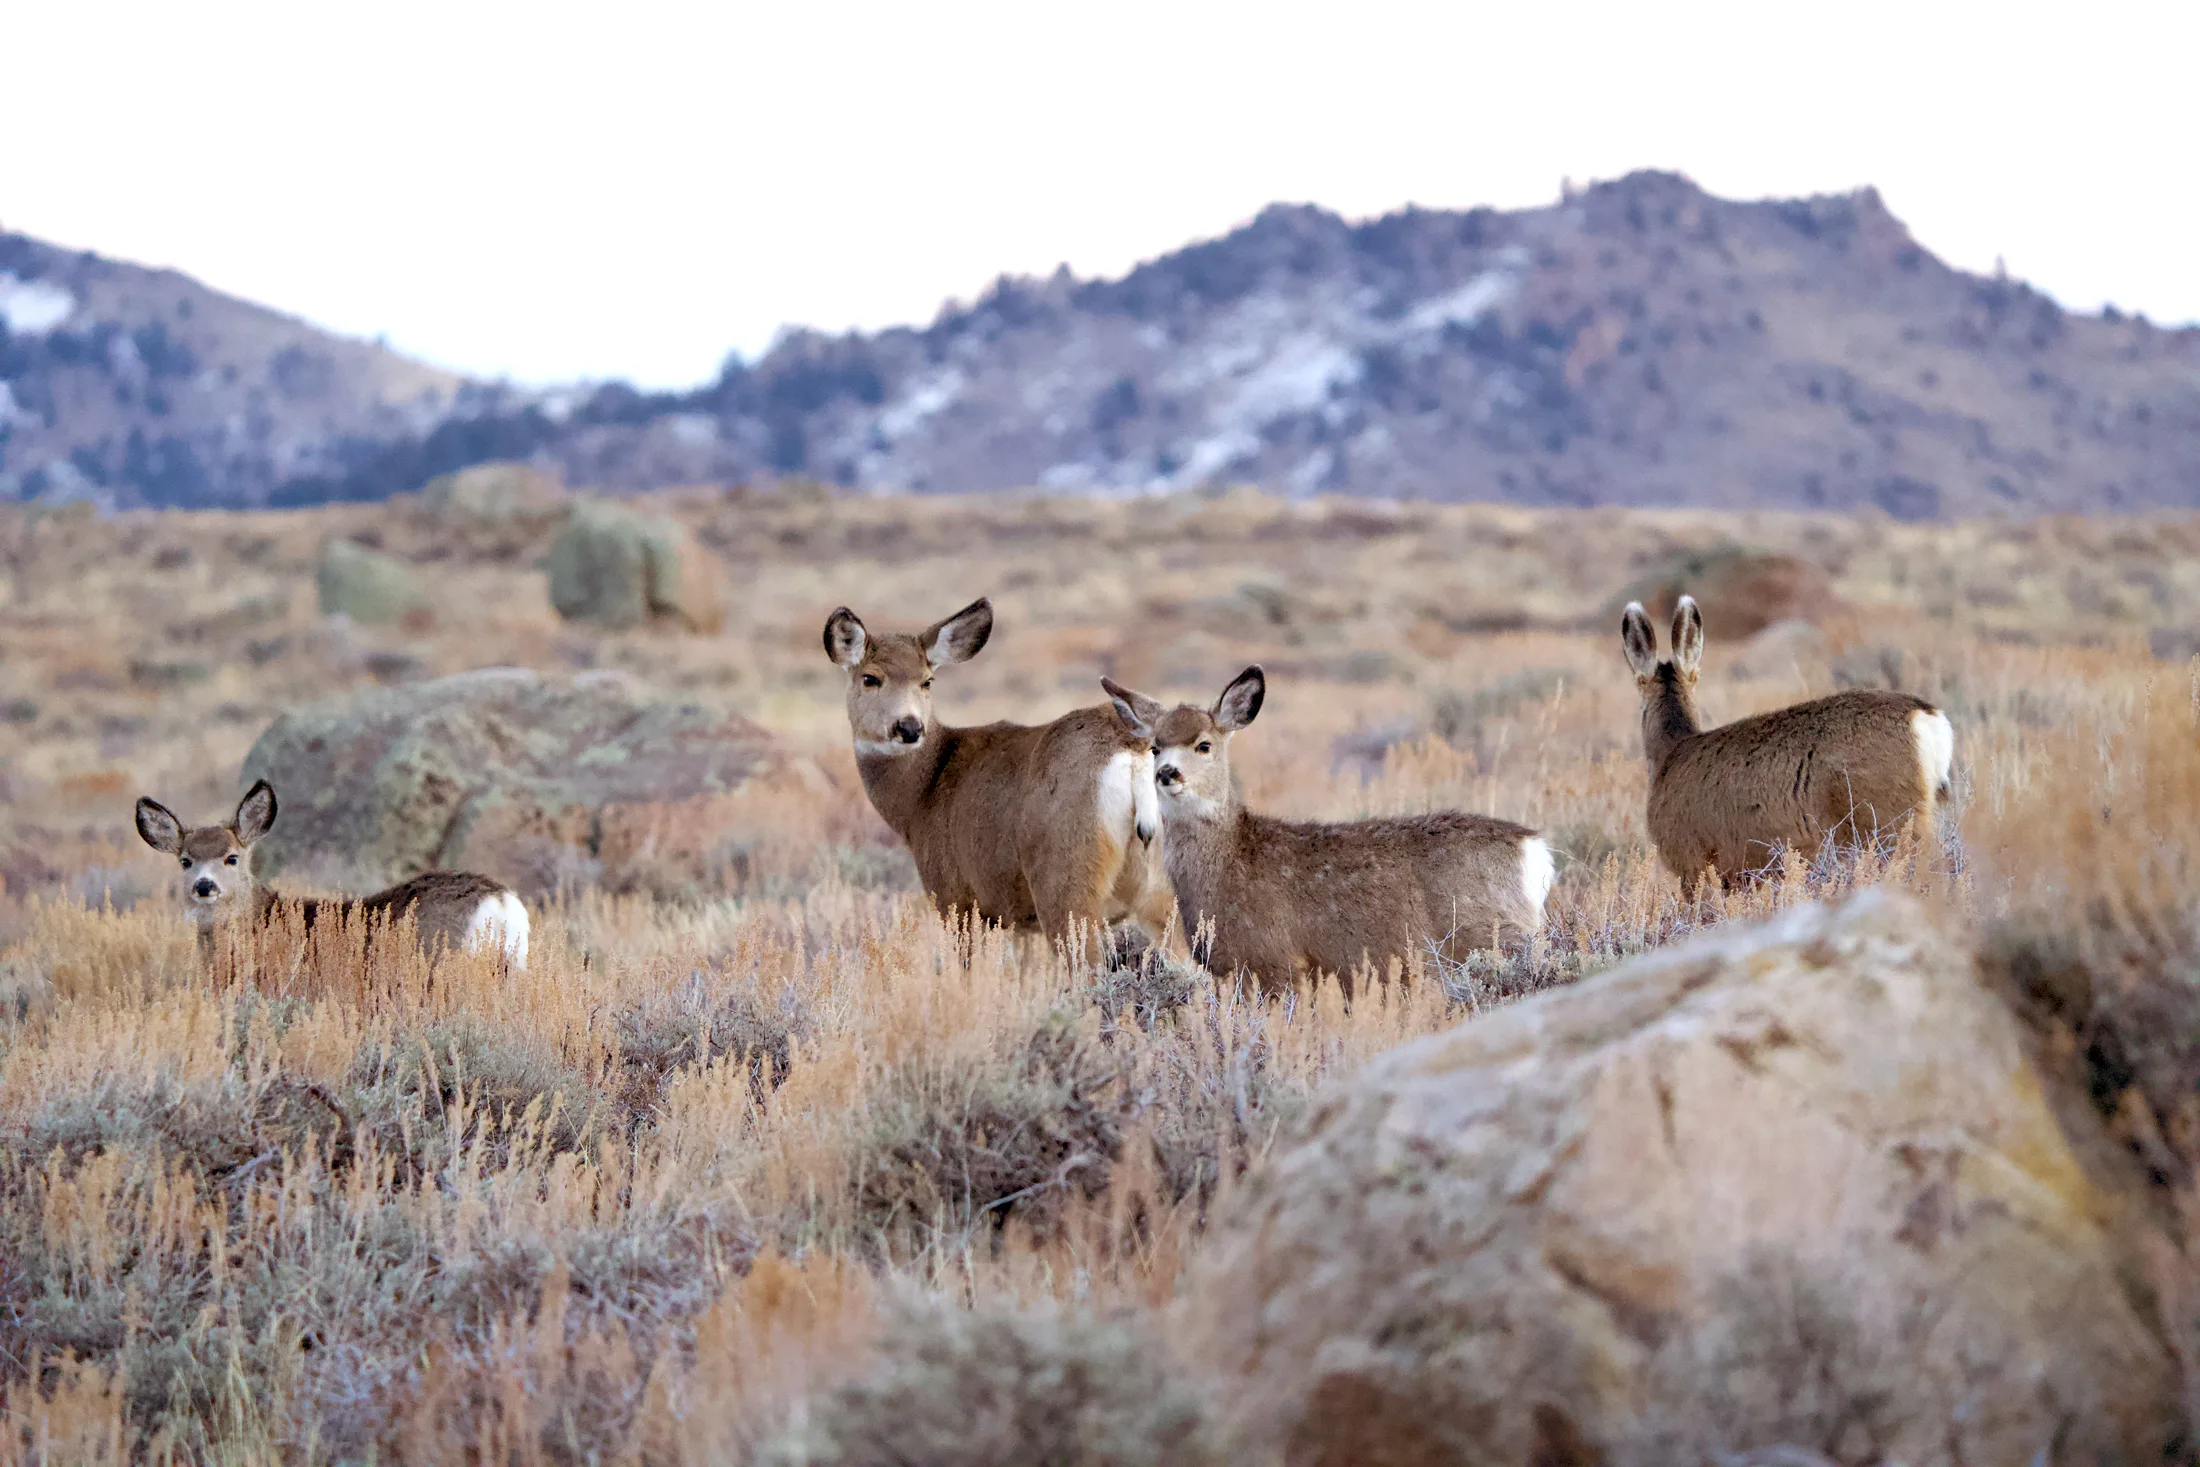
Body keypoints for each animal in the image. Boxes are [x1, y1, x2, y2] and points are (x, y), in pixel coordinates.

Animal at [823, 596, 1173, 960]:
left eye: (927, 680)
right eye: (870, 678)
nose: (909, 727)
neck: (922, 797)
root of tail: (1133, 752)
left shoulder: (957, 899)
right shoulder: (1018, 922)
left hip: (1065, 882)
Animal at [1101, 666, 1554, 993]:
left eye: (1204, 744)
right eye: (1155, 746)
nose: (1167, 773)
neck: (1230, 859)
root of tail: (1534, 851)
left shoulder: (1275, 962)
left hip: (1493, 937)